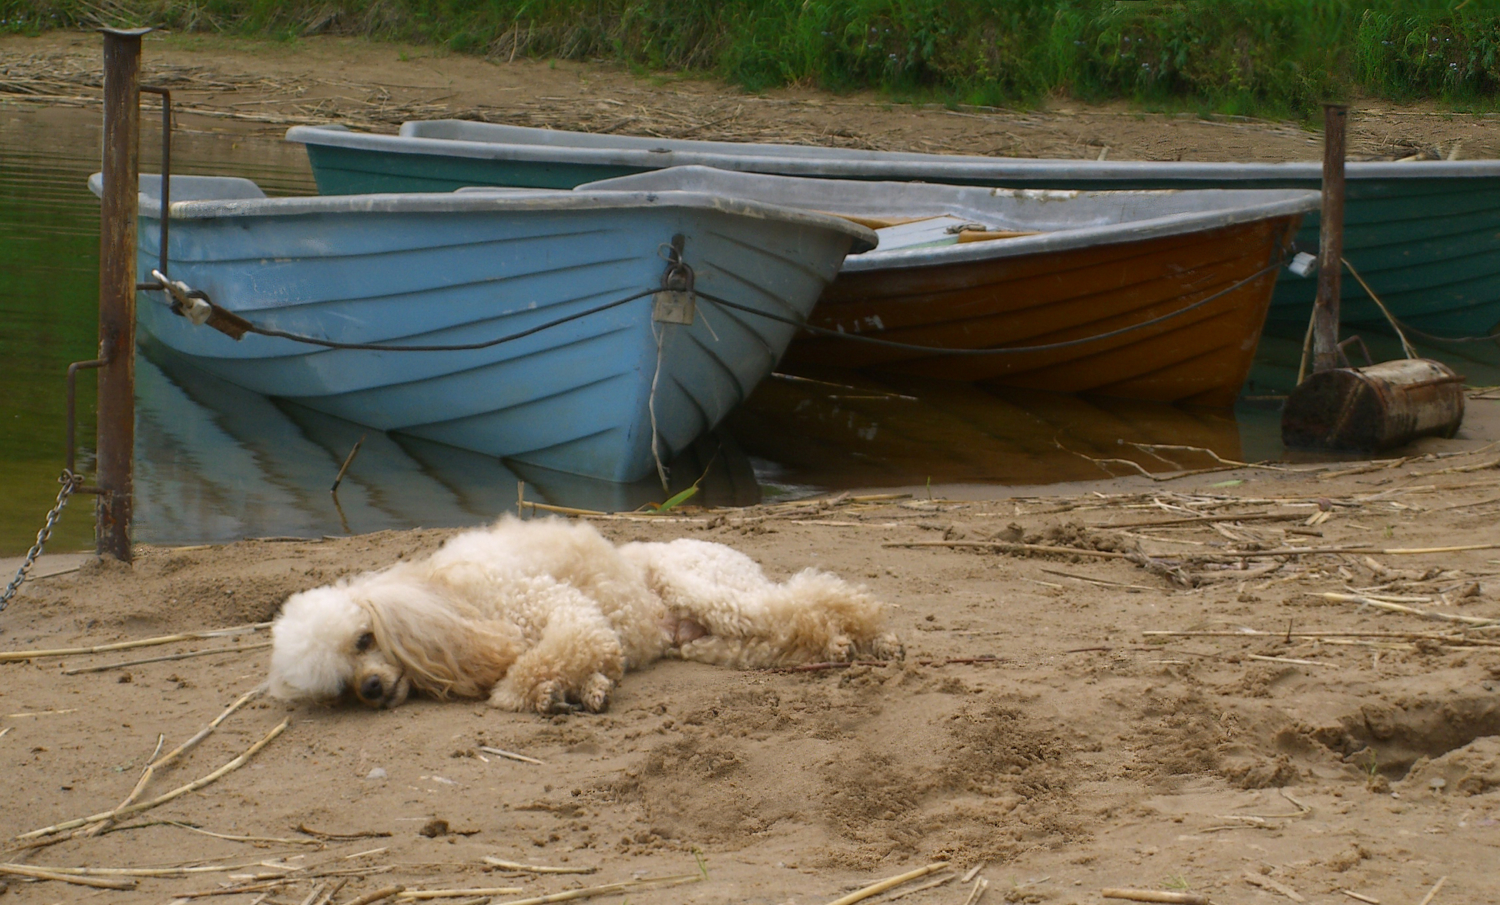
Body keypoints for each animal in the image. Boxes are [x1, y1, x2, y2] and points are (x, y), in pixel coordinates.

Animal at [264, 516, 894, 714]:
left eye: (364, 638)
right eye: (339, 687)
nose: (371, 689)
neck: (448, 601)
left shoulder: (552, 604)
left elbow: (543, 661)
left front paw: (535, 690)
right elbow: (586, 665)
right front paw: (581, 690)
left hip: (704, 586)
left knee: (816, 598)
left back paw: (866, 636)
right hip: (711, 642)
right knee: (785, 630)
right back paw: (837, 647)